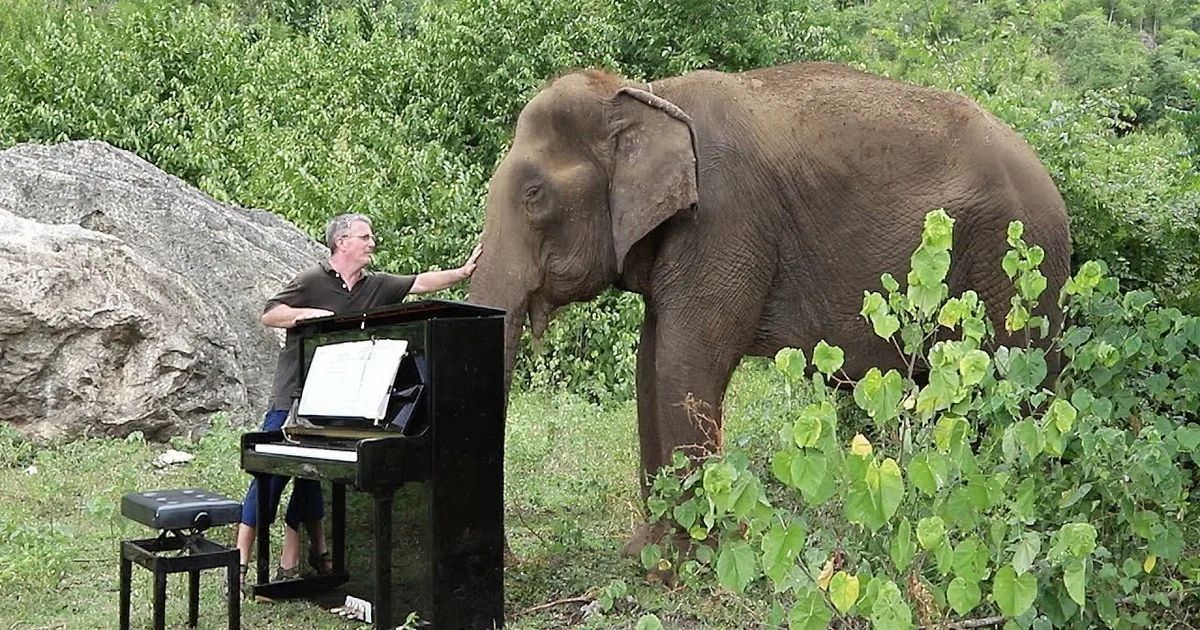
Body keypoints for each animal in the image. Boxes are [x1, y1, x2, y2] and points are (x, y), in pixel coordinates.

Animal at [467, 61, 1071, 508]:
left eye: (534, 195)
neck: (645, 95)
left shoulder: (725, 218)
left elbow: (687, 362)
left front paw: (683, 566)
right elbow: (651, 362)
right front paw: (650, 560)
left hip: (1013, 268)